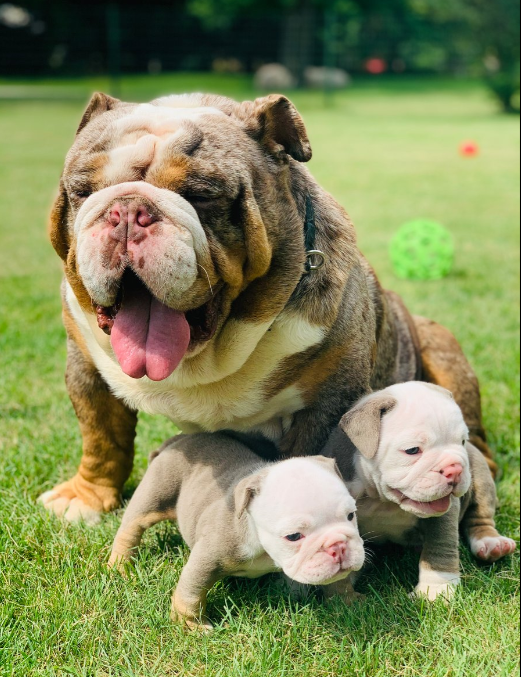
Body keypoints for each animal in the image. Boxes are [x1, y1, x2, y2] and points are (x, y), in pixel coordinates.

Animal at [108, 434, 366, 628]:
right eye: (293, 536)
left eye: (351, 516)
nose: (338, 546)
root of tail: (175, 441)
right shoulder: (208, 556)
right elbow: (191, 589)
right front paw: (190, 624)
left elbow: (339, 580)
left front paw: (348, 601)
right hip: (157, 491)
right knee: (131, 526)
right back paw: (120, 564)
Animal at [324, 382, 516, 600]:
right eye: (412, 450)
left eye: (462, 442)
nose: (455, 468)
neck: (382, 500)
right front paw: (341, 594)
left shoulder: (444, 513)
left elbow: (440, 545)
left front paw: (435, 591)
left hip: (480, 472)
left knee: (480, 515)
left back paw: (492, 544)